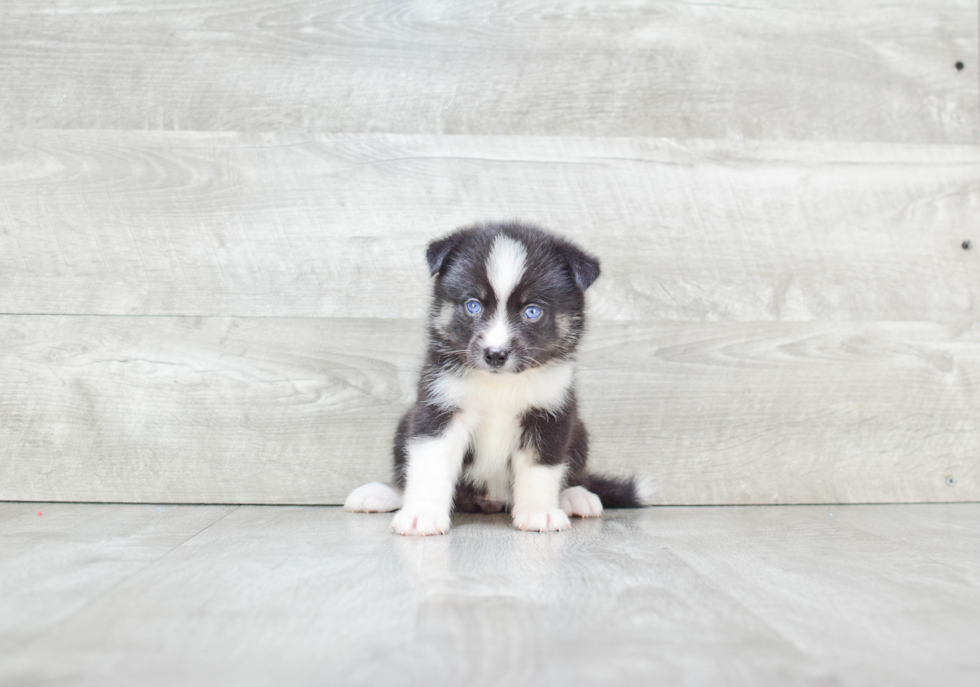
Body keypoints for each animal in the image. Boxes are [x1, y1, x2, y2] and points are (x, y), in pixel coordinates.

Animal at [344, 223, 652, 536]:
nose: (495, 354)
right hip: (405, 423)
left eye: (532, 311)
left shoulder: (548, 414)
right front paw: (422, 514)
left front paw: (539, 512)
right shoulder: (440, 406)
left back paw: (575, 497)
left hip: (579, 431)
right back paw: (381, 494)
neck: (500, 386)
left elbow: (540, 469)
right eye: (473, 305)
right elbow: (430, 463)